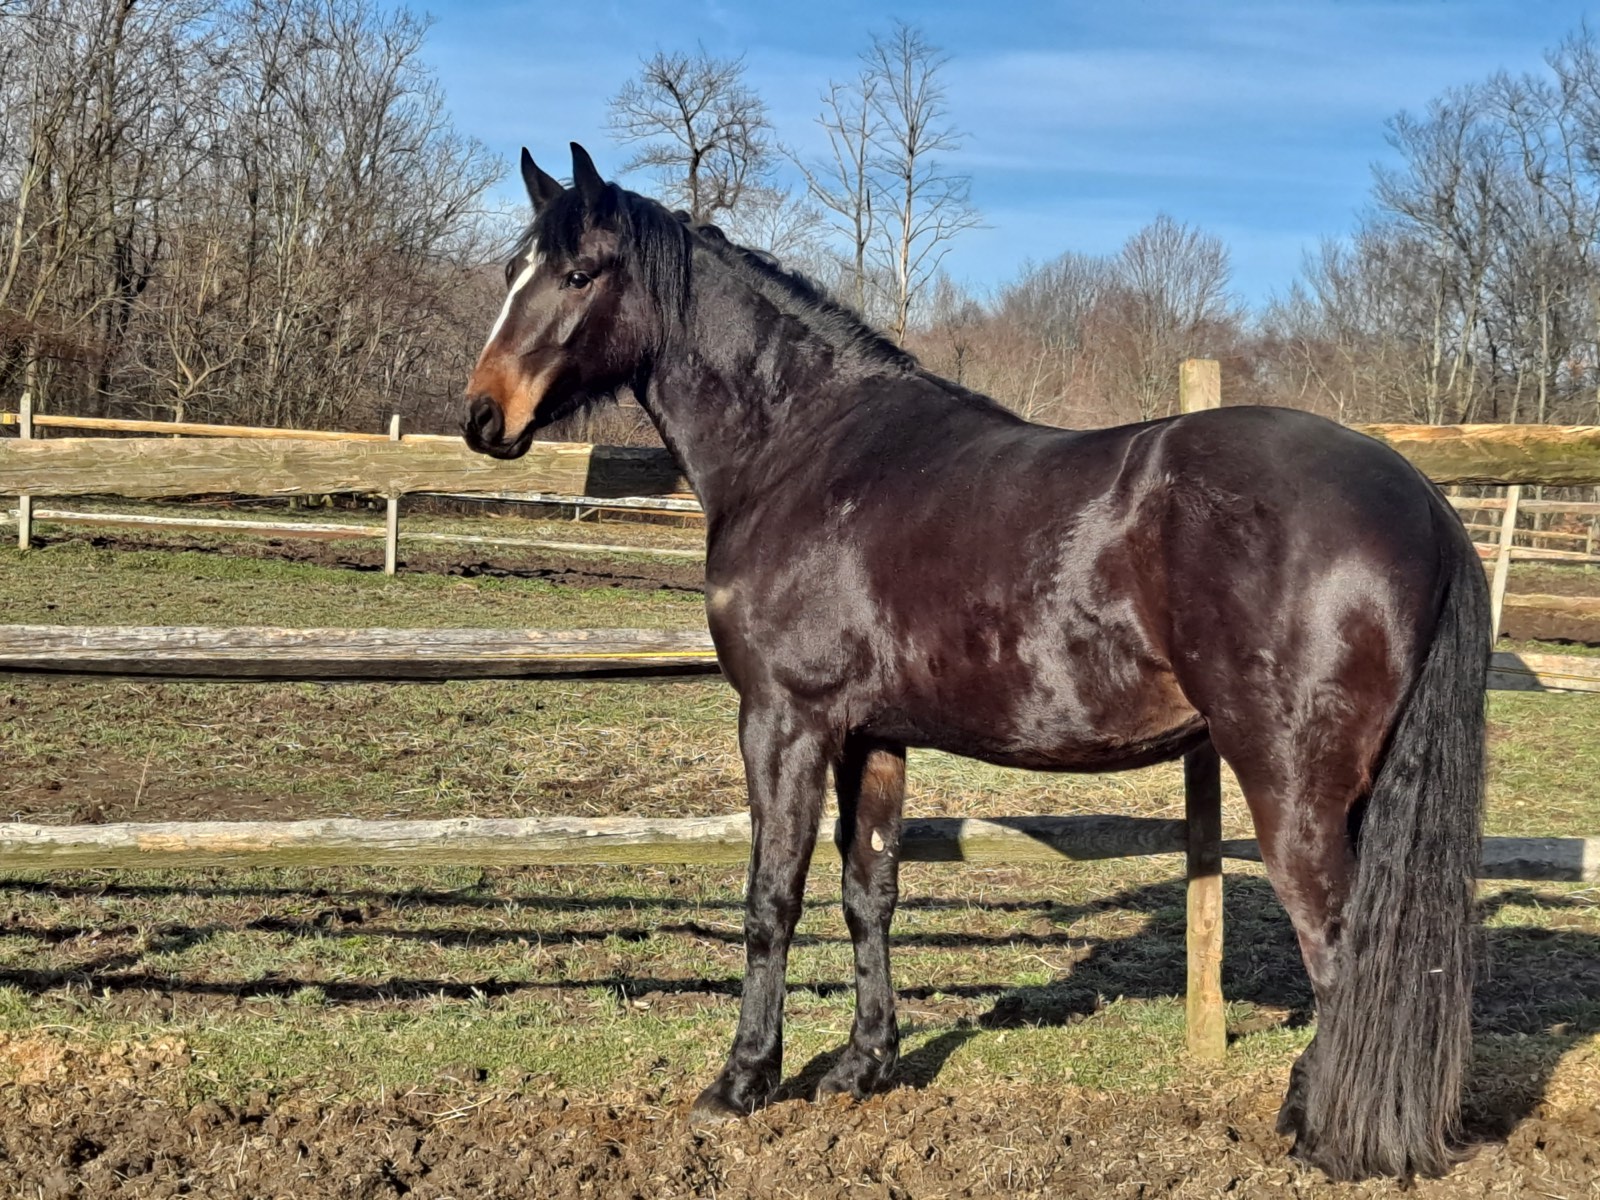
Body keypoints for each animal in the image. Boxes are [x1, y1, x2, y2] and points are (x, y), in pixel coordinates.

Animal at [460, 143, 1489, 1182]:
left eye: (579, 274)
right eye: (512, 270)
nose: (482, 416)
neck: (805, 452)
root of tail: (1422, 499)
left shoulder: (784, 721)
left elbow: (771, 898)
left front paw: (742, 1081)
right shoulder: (871, 737)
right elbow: (867, 891)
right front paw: (864, 1065)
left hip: (1292, 786)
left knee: (1342, 947)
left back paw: (1329, 1133)